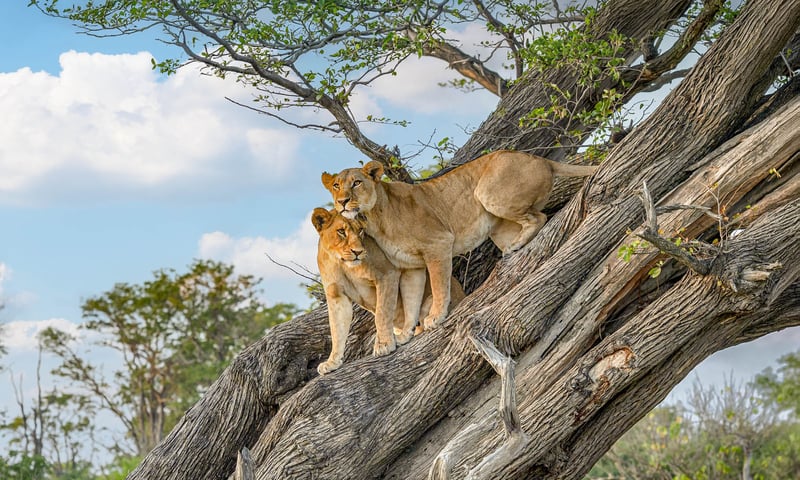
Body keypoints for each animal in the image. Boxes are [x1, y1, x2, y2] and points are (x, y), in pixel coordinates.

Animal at [312, 208, 465, 375]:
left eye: (360, 231)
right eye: (341, 231)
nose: (358, 252)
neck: (341, 263)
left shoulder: (387, 274)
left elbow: (382, 314)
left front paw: (384, 344)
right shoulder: (336, 296)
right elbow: (336, 330)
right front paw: (332, 362)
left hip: (429, 301)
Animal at [321, 150, 597, 331]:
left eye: (357, 183)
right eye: (336, 186)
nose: (342, 202)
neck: (373, 218)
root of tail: (540, 158)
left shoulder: (438, 243)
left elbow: (439, 285)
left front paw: (435, 317)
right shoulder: (409, 265)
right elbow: (411, 299)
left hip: (487, 192)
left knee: (539, 217)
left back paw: (516, 245)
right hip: (497, 225)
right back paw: (514, 246)